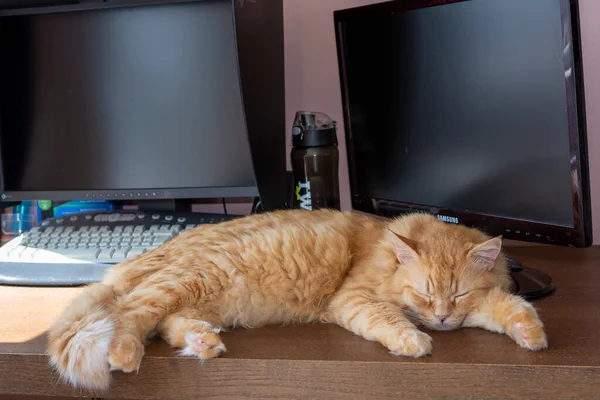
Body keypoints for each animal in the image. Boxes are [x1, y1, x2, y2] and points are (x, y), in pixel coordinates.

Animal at [44, 209, 548, 390]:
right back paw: (125, 353)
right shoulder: (353, 298)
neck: (385, 250)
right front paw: (414, 340)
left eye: (457, 293)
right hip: (187, 281)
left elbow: (510, 308)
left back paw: (204, 342)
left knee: (168, 325)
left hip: (197, 297)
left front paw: (531, 334)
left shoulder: (483, 302)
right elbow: (388, 318)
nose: (441, 319)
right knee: (131, 314)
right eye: (425, 293)